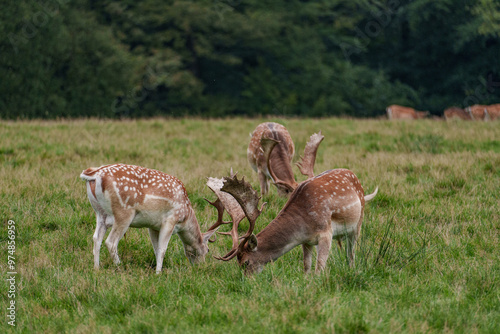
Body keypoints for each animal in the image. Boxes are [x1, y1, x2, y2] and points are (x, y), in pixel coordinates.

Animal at [80, 163, 217, 272]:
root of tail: (93, 175)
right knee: (110, 242)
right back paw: (120, 267)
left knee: (96, 238)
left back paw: (96, 268)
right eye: (207, 250)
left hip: (99, 213)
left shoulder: (153, 226)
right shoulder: (170, 220)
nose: (201, 266)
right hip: (123, 212)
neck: (186, 215)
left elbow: (156, 249)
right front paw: (158, 273)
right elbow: (162, 249)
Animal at [212, 171, 378, 276]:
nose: (247, 280)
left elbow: (319, 267)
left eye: (245, 262)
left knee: (351, 254)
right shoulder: (307, 241)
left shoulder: (326, 232)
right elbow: (306, 266)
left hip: (358, 223)